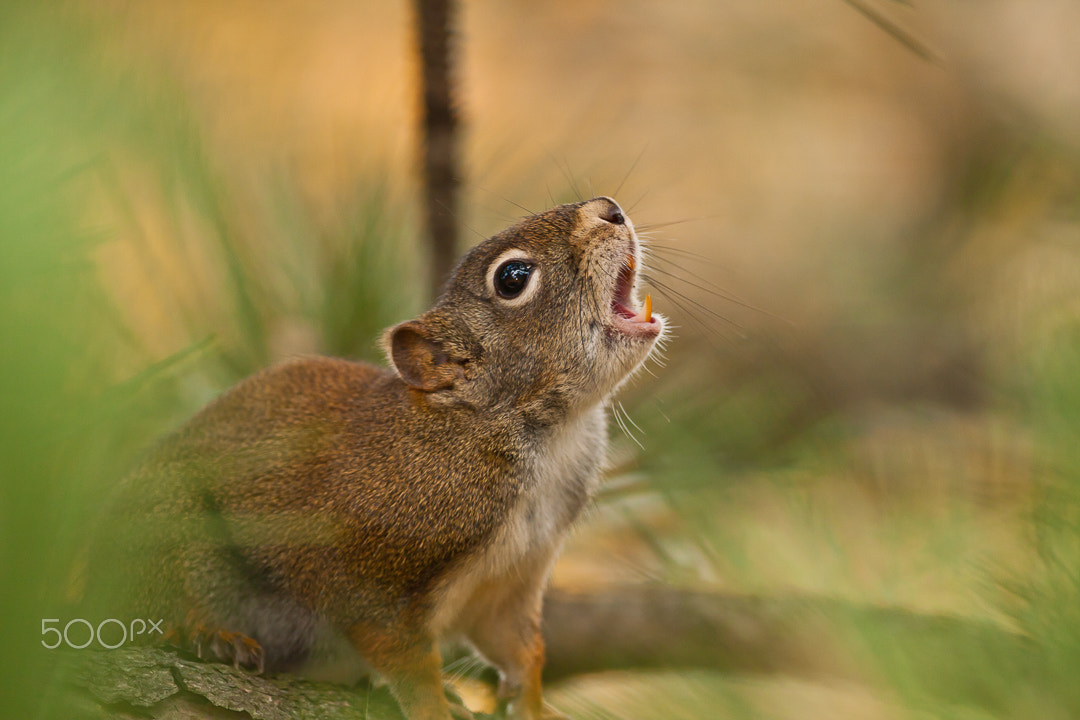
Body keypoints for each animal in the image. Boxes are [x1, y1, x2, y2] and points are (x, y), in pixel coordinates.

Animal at [88, 197, 665, 720]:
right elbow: (404, 657)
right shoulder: (369, 570)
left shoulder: (513, 582)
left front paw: (535, 706)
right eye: (513, 278)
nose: (610, 208)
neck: (544, 437)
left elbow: (522, 650)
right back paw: (208, 634)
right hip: (167, 530)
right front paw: (435, 707)